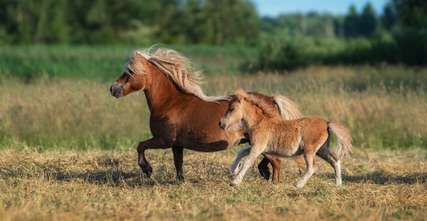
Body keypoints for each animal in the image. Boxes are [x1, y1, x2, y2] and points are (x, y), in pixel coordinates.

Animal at [111, 47, 304, 180]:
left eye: (130, 72)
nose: (113, 89)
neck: (170, 102)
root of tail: (271, 99)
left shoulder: (164, 140)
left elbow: (140, 146)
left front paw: (147, 169)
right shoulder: (176, 144)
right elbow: (178, 163)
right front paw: (180, 181)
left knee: (276, 162)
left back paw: (272, 181)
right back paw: (265, 173)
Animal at [219, 89, 352, 187]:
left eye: (232, 108)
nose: (221, 123)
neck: (259, 122)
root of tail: (327, 123)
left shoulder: (258, 147)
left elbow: (247, 161)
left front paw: (235, 182)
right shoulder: (258, 147)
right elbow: (241, 152)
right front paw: (234, 170)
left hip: (309, 150)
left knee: (312, 168)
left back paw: (298, 185)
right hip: (321, 150)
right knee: (335, 161)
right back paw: (338, 185)